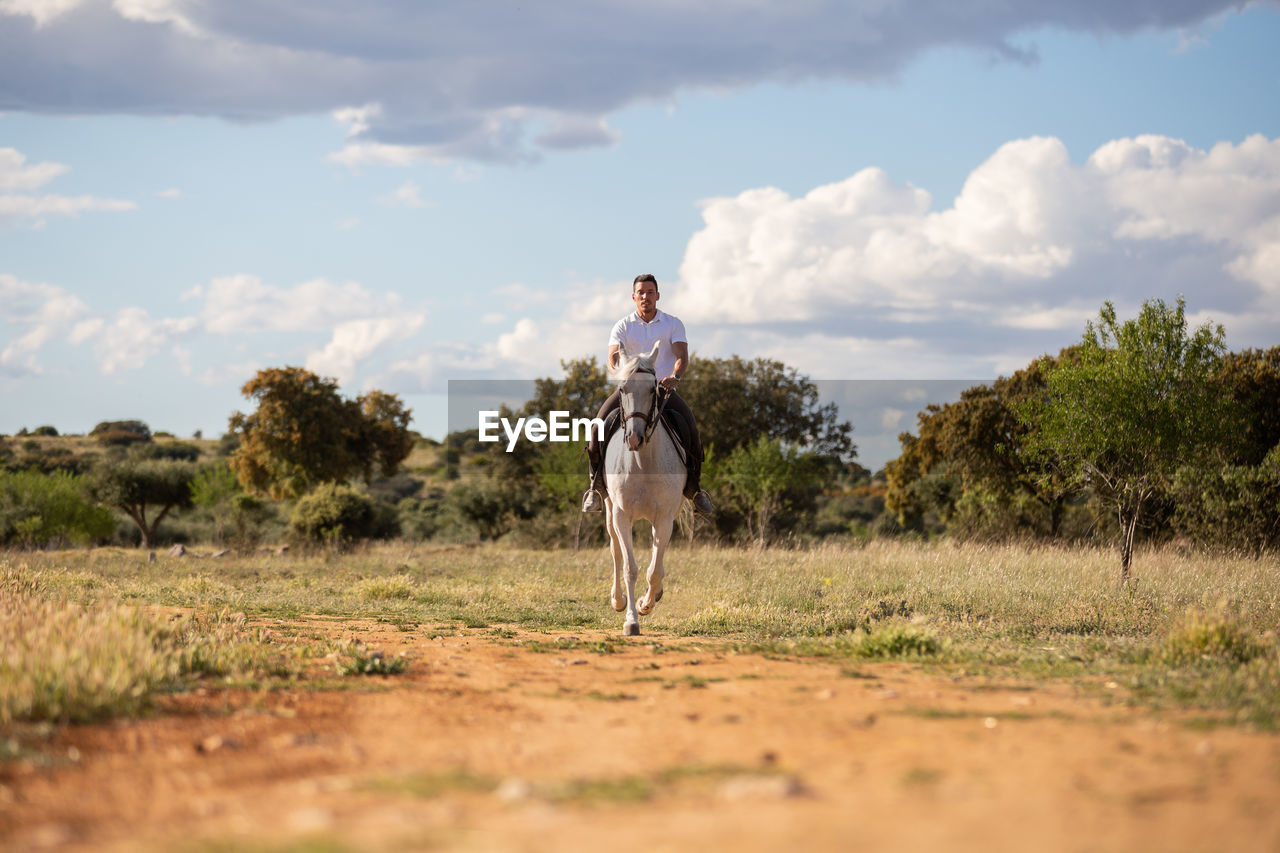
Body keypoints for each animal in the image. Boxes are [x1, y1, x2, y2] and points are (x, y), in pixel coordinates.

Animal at [604, 343, 686, 635]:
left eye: (654, 390)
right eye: (622, 389)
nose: (634, 438)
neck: (642, 462)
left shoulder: (664, 518)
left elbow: (654, 569)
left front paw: (645, 604)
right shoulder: (621, 515)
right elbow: (630, 567)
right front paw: (631, 619)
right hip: (609, 511)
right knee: (616, 551)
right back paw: (618, 600)